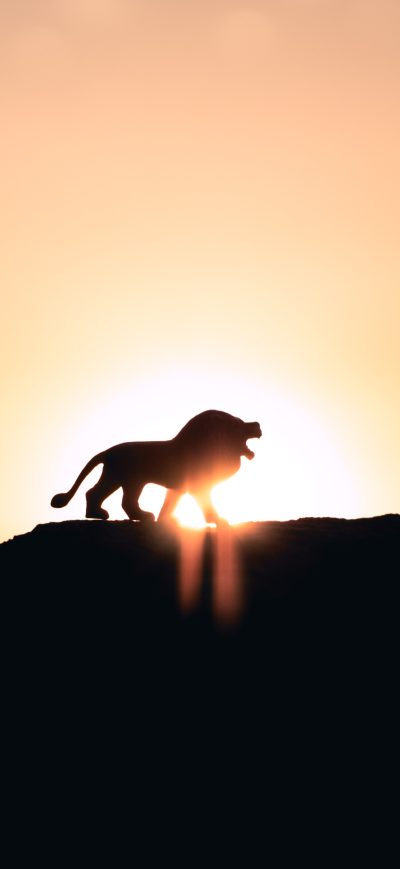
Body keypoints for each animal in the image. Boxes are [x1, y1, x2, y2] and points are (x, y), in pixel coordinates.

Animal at [51, 409, 262, 524]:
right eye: (238, 424)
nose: (258, 424)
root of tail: (107, 451)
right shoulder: (198, 486)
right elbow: (206, 504)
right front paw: (217, 520)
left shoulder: (178, 488)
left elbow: (169, 503)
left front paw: (166, 520)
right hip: (125, 478)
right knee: (113, 498)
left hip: (122, 479)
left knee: (111, 498)